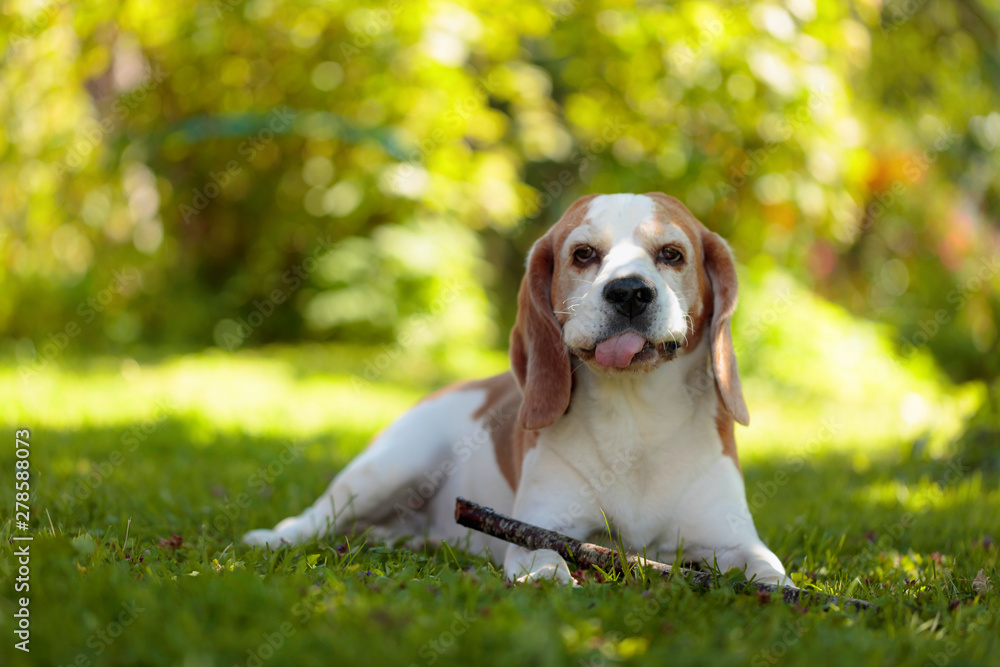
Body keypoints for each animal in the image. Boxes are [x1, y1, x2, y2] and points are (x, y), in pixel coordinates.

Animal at [246, 194, 792, 588]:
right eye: (583, 254)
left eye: (672, 255)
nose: (630, 292)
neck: (638, 419)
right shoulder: (543, 524)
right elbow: (545, 556)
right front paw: (551, 578)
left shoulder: (732, 539)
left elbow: (770, 571)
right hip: (387, 469)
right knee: (314, 519)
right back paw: (272, 538)